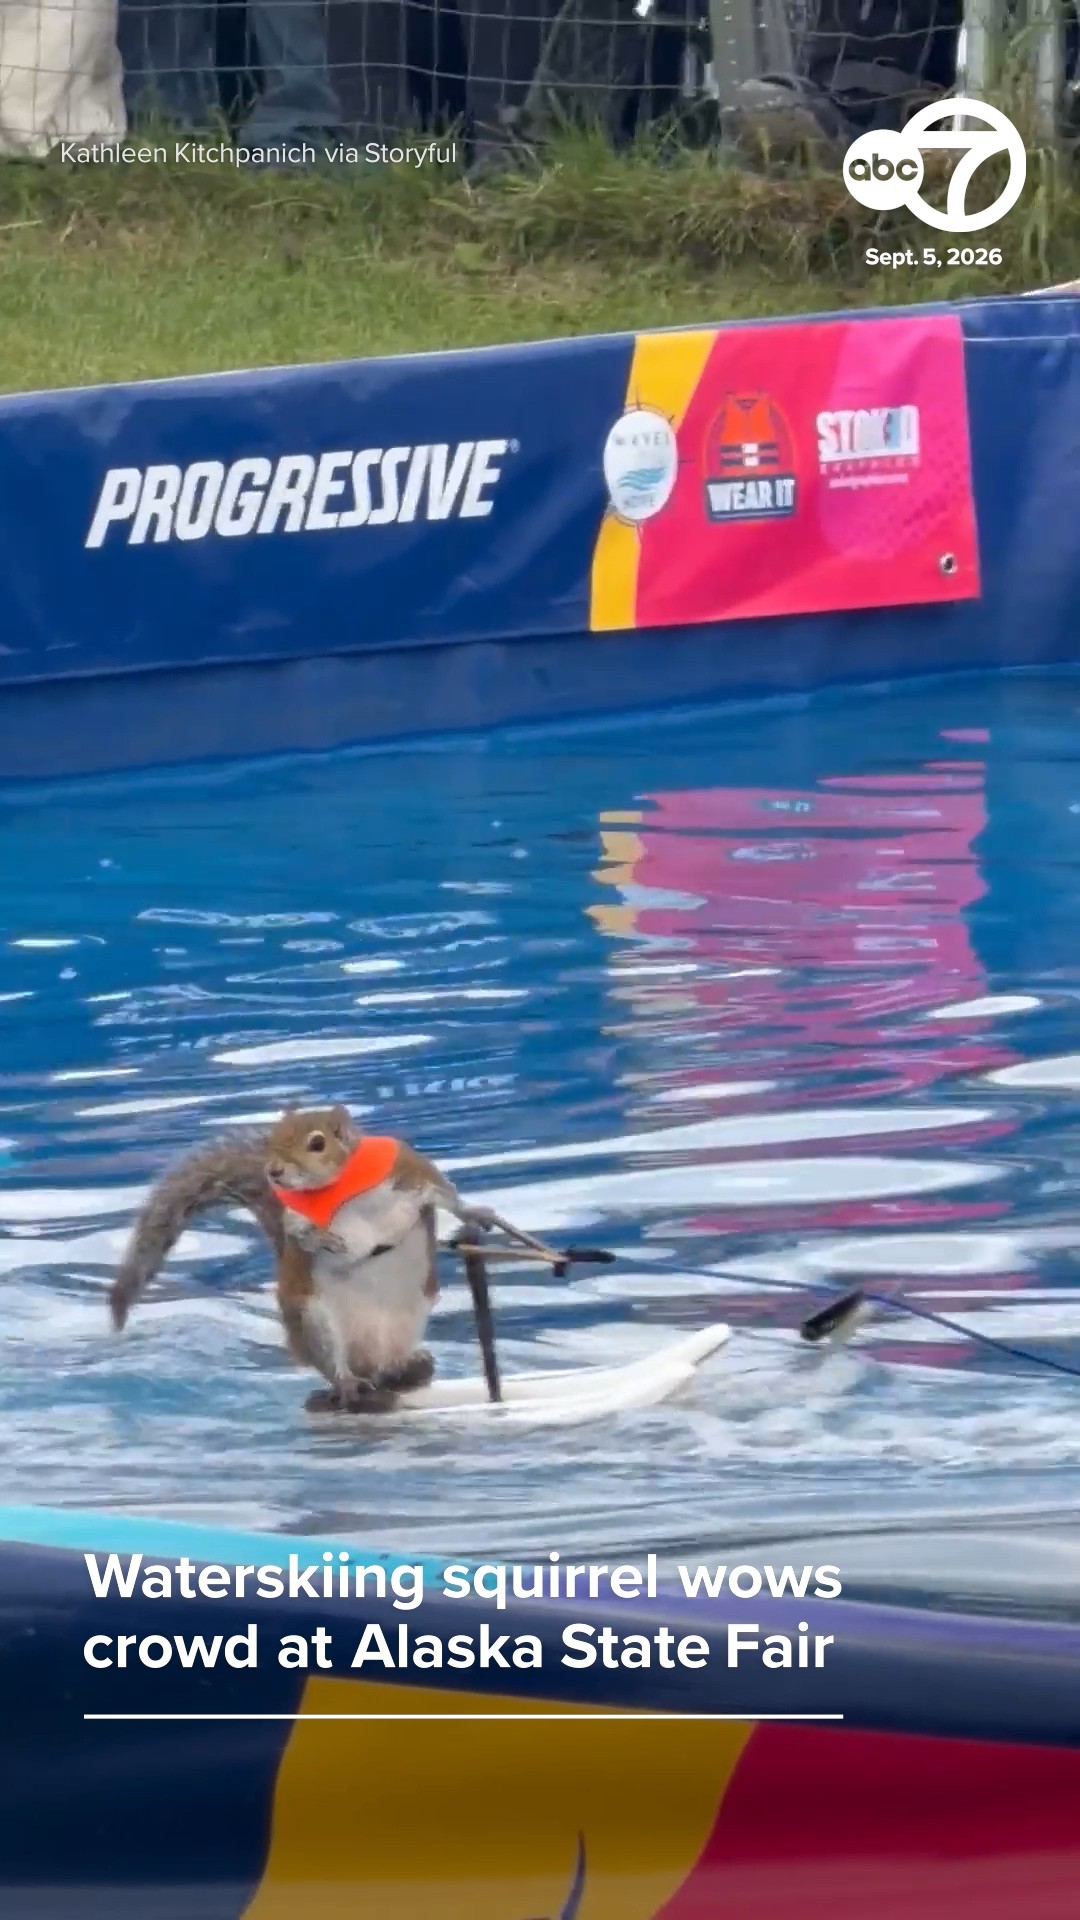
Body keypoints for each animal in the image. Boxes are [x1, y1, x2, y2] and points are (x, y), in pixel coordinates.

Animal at [110, 1105, 497, 1414]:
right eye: (271, 1139)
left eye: (317, 1143)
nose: (274, 1172)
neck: (340, 1187)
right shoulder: (296, 1214)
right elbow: (297, 1233)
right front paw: (324, 1240)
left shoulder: (408, 1173)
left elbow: (444, 1193)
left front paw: (475, 1213)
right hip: (313, 1320)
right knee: (336, 1365)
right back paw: (349, 1383)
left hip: (412, 1313)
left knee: (388, 1366)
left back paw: (407, 1367)